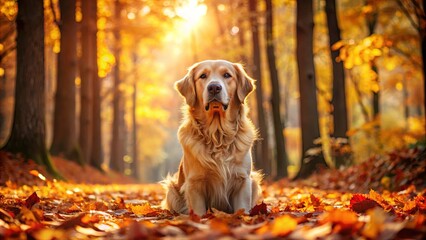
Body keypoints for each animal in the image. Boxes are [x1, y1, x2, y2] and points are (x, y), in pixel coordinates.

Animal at [162, 59, 262, 216]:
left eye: (227, 75)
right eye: (203, 76)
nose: (214, 87)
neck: (217, 134)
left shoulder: (243, 180)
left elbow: (242, 208)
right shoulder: (195, 183)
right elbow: (198, 212)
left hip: (254, 181)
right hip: (171, 189)